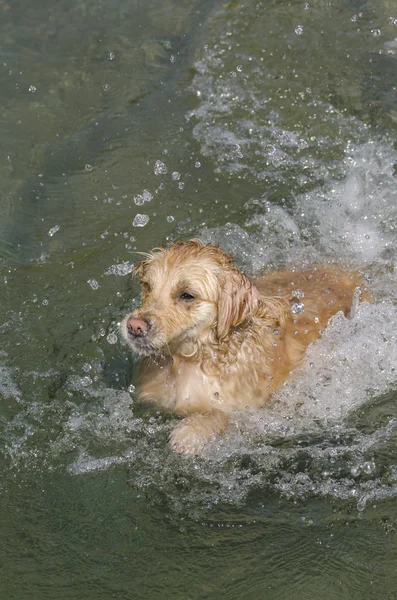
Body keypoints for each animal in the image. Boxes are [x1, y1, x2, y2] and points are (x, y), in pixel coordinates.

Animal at [120, 239, 368, 454]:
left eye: (187, 295)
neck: (188, 361)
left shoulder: (250, 413)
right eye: (147, 286)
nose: (134, 326)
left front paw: (189, 433)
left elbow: (219, 415)